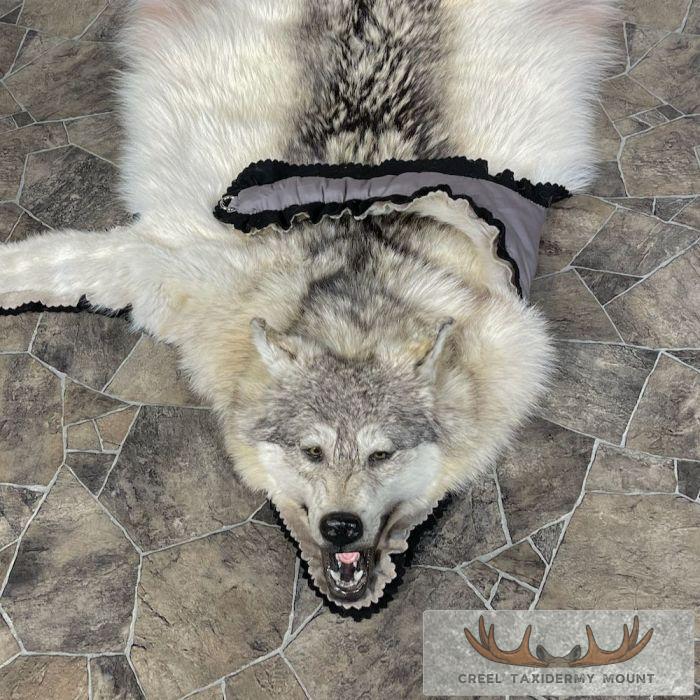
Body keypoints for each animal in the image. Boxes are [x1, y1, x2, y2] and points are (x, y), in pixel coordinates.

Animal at [0, 0, 616, 608]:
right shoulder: (182, 273)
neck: (353, 299)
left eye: (381, 455)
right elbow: (52, 262)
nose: (341, 527)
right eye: (312, 452)